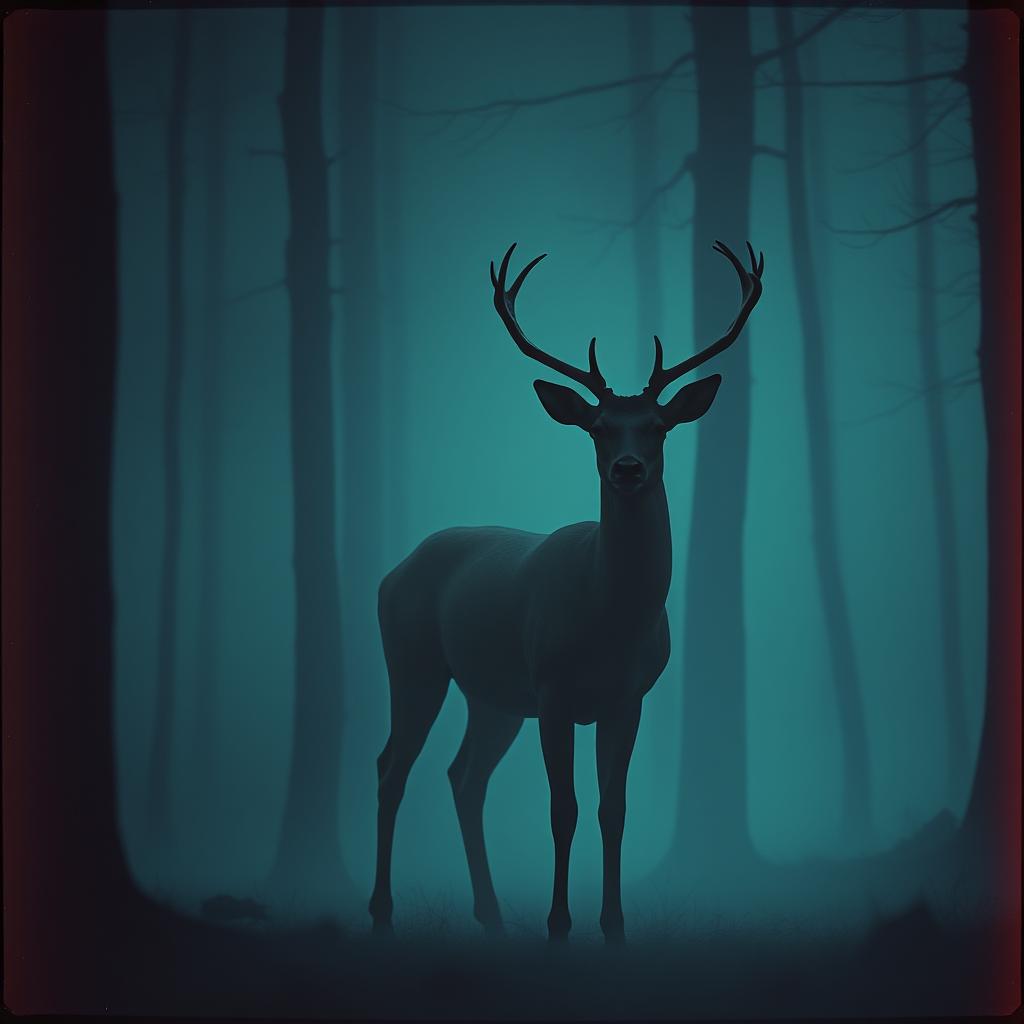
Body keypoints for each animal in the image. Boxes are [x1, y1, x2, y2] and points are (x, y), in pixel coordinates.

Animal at [369, 240, 764, 943]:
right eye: (599, 427)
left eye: (658, 425)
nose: (627, 469)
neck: (610, 623)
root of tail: (395, 571)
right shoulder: (553, 688)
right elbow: (564, 809)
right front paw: (558, 924)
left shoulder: (628, 697)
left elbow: (614, 810)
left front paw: (613, 925)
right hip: (413, 660)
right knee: (392, 767)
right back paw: (383, 913)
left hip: (494, 695)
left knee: (464, 776)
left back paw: (491, 914)